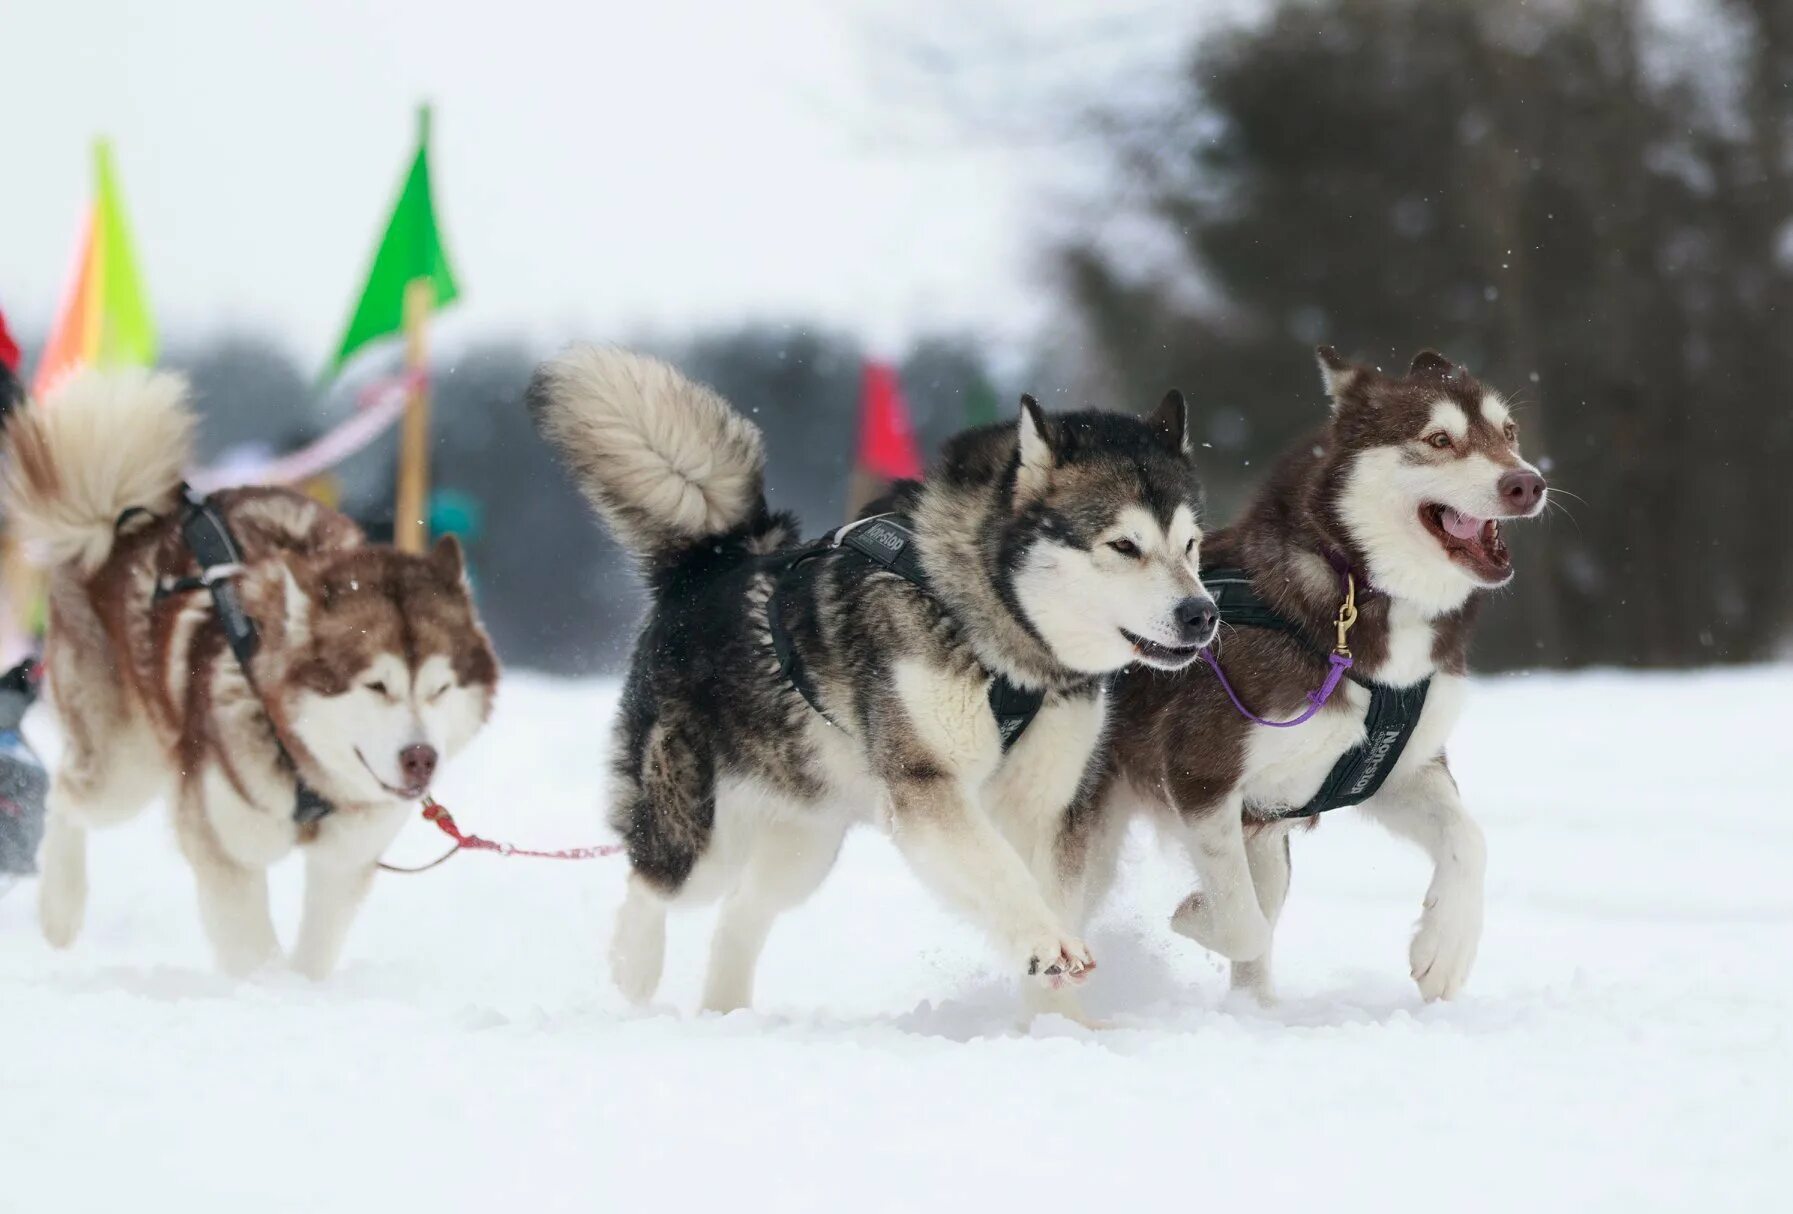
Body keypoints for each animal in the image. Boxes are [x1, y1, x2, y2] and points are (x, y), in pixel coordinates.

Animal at [1, 367, 498, 975]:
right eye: (376, 685)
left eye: (440, 688)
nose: (421, 758)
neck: (303, 766)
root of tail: (125, 520)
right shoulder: (226, 849)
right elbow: (253, 948)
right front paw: (266, 986)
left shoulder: (345, 859)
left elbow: (315, 948)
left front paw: (300, 986)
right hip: (124, 766)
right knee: (67, 795)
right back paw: (60, 910)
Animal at [523, 346, 1219, 1018]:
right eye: (1123, 545)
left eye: (1190, 544)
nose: (1202, 613)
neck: (1001, 638)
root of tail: (711, 562)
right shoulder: (927, 784)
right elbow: (1000, 872)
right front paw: (1044, 944)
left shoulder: (1051, 805)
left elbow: (1054, 891)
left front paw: (1063, 1027)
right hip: (701, 829)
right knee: (655, 880)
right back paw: (634, 966)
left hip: (805, 838)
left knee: (740, 914)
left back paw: (725, 1013)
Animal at [1097, 342, 1549, 1004]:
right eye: (1439, 439)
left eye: (1509, 433)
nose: (1527, 483)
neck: (1355, 591)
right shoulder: (1200, 772)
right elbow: (1244, 922)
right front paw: (1196, 913)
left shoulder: (1395, 768)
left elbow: (1469, 839)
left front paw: (1445, 947)